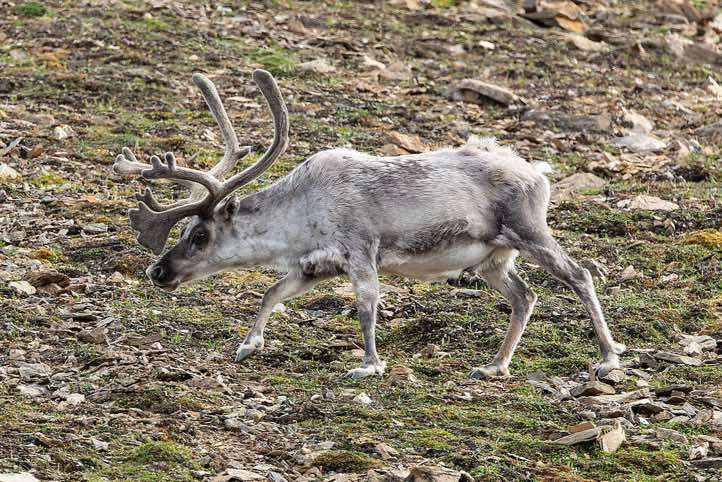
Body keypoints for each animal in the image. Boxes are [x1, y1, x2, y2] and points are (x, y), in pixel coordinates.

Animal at [113, 69, 626, 380]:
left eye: (199, 235)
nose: (157, 272)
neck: (300, 212)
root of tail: (539, 172)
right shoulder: (313, 266)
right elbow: (270, 293)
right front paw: (248, 345)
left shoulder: (361, 252)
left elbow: (366, 308)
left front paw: (370, 365)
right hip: (492, 259)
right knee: (525, 296)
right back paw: (494, 366)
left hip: (530, 231)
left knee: (579, 275)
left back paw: (607, 357)